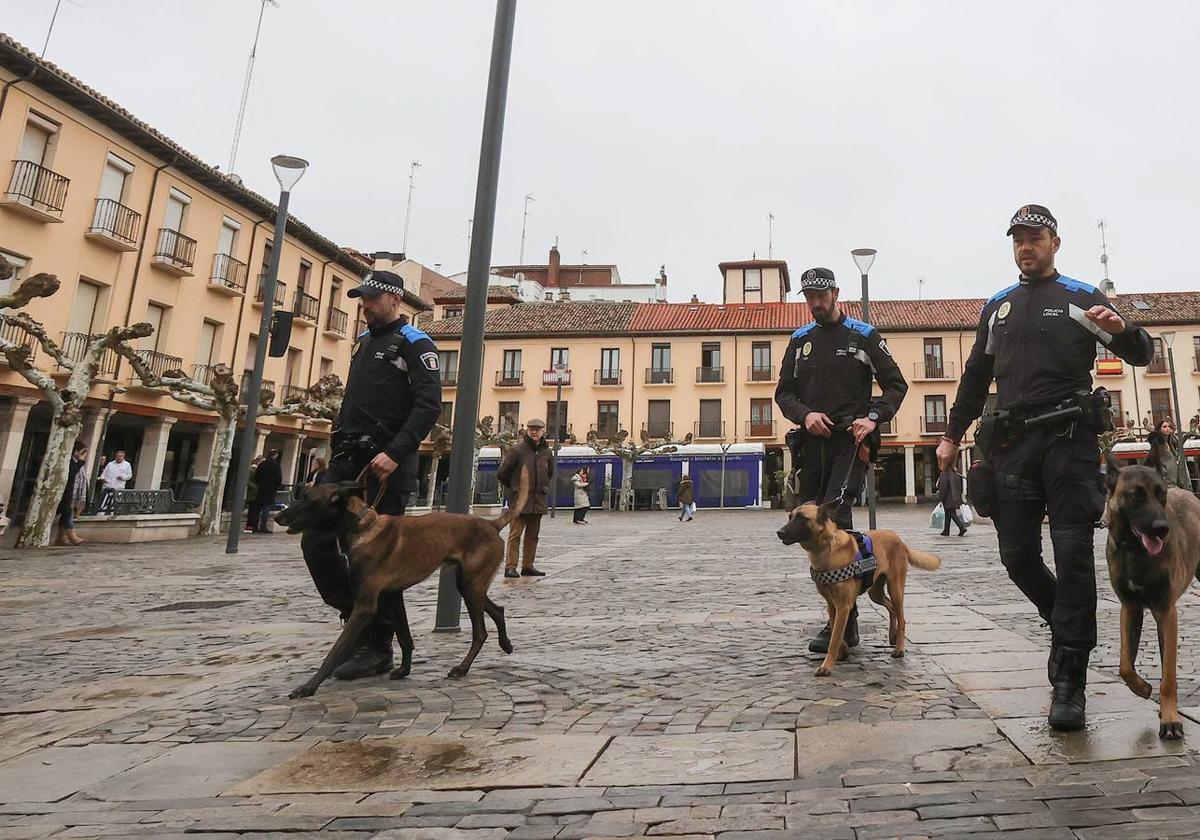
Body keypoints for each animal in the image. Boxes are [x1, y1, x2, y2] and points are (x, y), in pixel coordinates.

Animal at [278, 465, 532, 696]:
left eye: (307, 499)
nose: (278, 515)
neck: (363, 529)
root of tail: (491, 524)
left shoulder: (365, 606)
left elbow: (335, 651)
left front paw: (308, 686)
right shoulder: (392, 596)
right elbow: (404, 636)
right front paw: (403, 670)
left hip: (471, 588)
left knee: (480, 633)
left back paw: (462, 668)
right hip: (469, 585)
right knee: (497, 610)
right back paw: (505, 644)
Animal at [772, 501, 940, 681]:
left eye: (802, 519)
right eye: (790, 517)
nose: (779, 533)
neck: (825, 547)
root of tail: (899, 540)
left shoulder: (843, 606)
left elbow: (835, 638)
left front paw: (827, 665)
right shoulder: (832, 606)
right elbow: (835, 633)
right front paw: (843, 651)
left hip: (895, 588)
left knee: (901, 618)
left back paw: (899, 647)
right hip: (875, 593)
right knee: (891, 608)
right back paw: (892, 634)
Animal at [1104, 456, 1200, 739]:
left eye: (1161, 495)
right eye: (1136, 495)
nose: (1162, 529)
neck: (1135, 552)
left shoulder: (1167, 612)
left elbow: (1168, 676)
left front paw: (1170, 721)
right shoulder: (1130, 609)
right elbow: (1125, 665)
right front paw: (1142, 688)